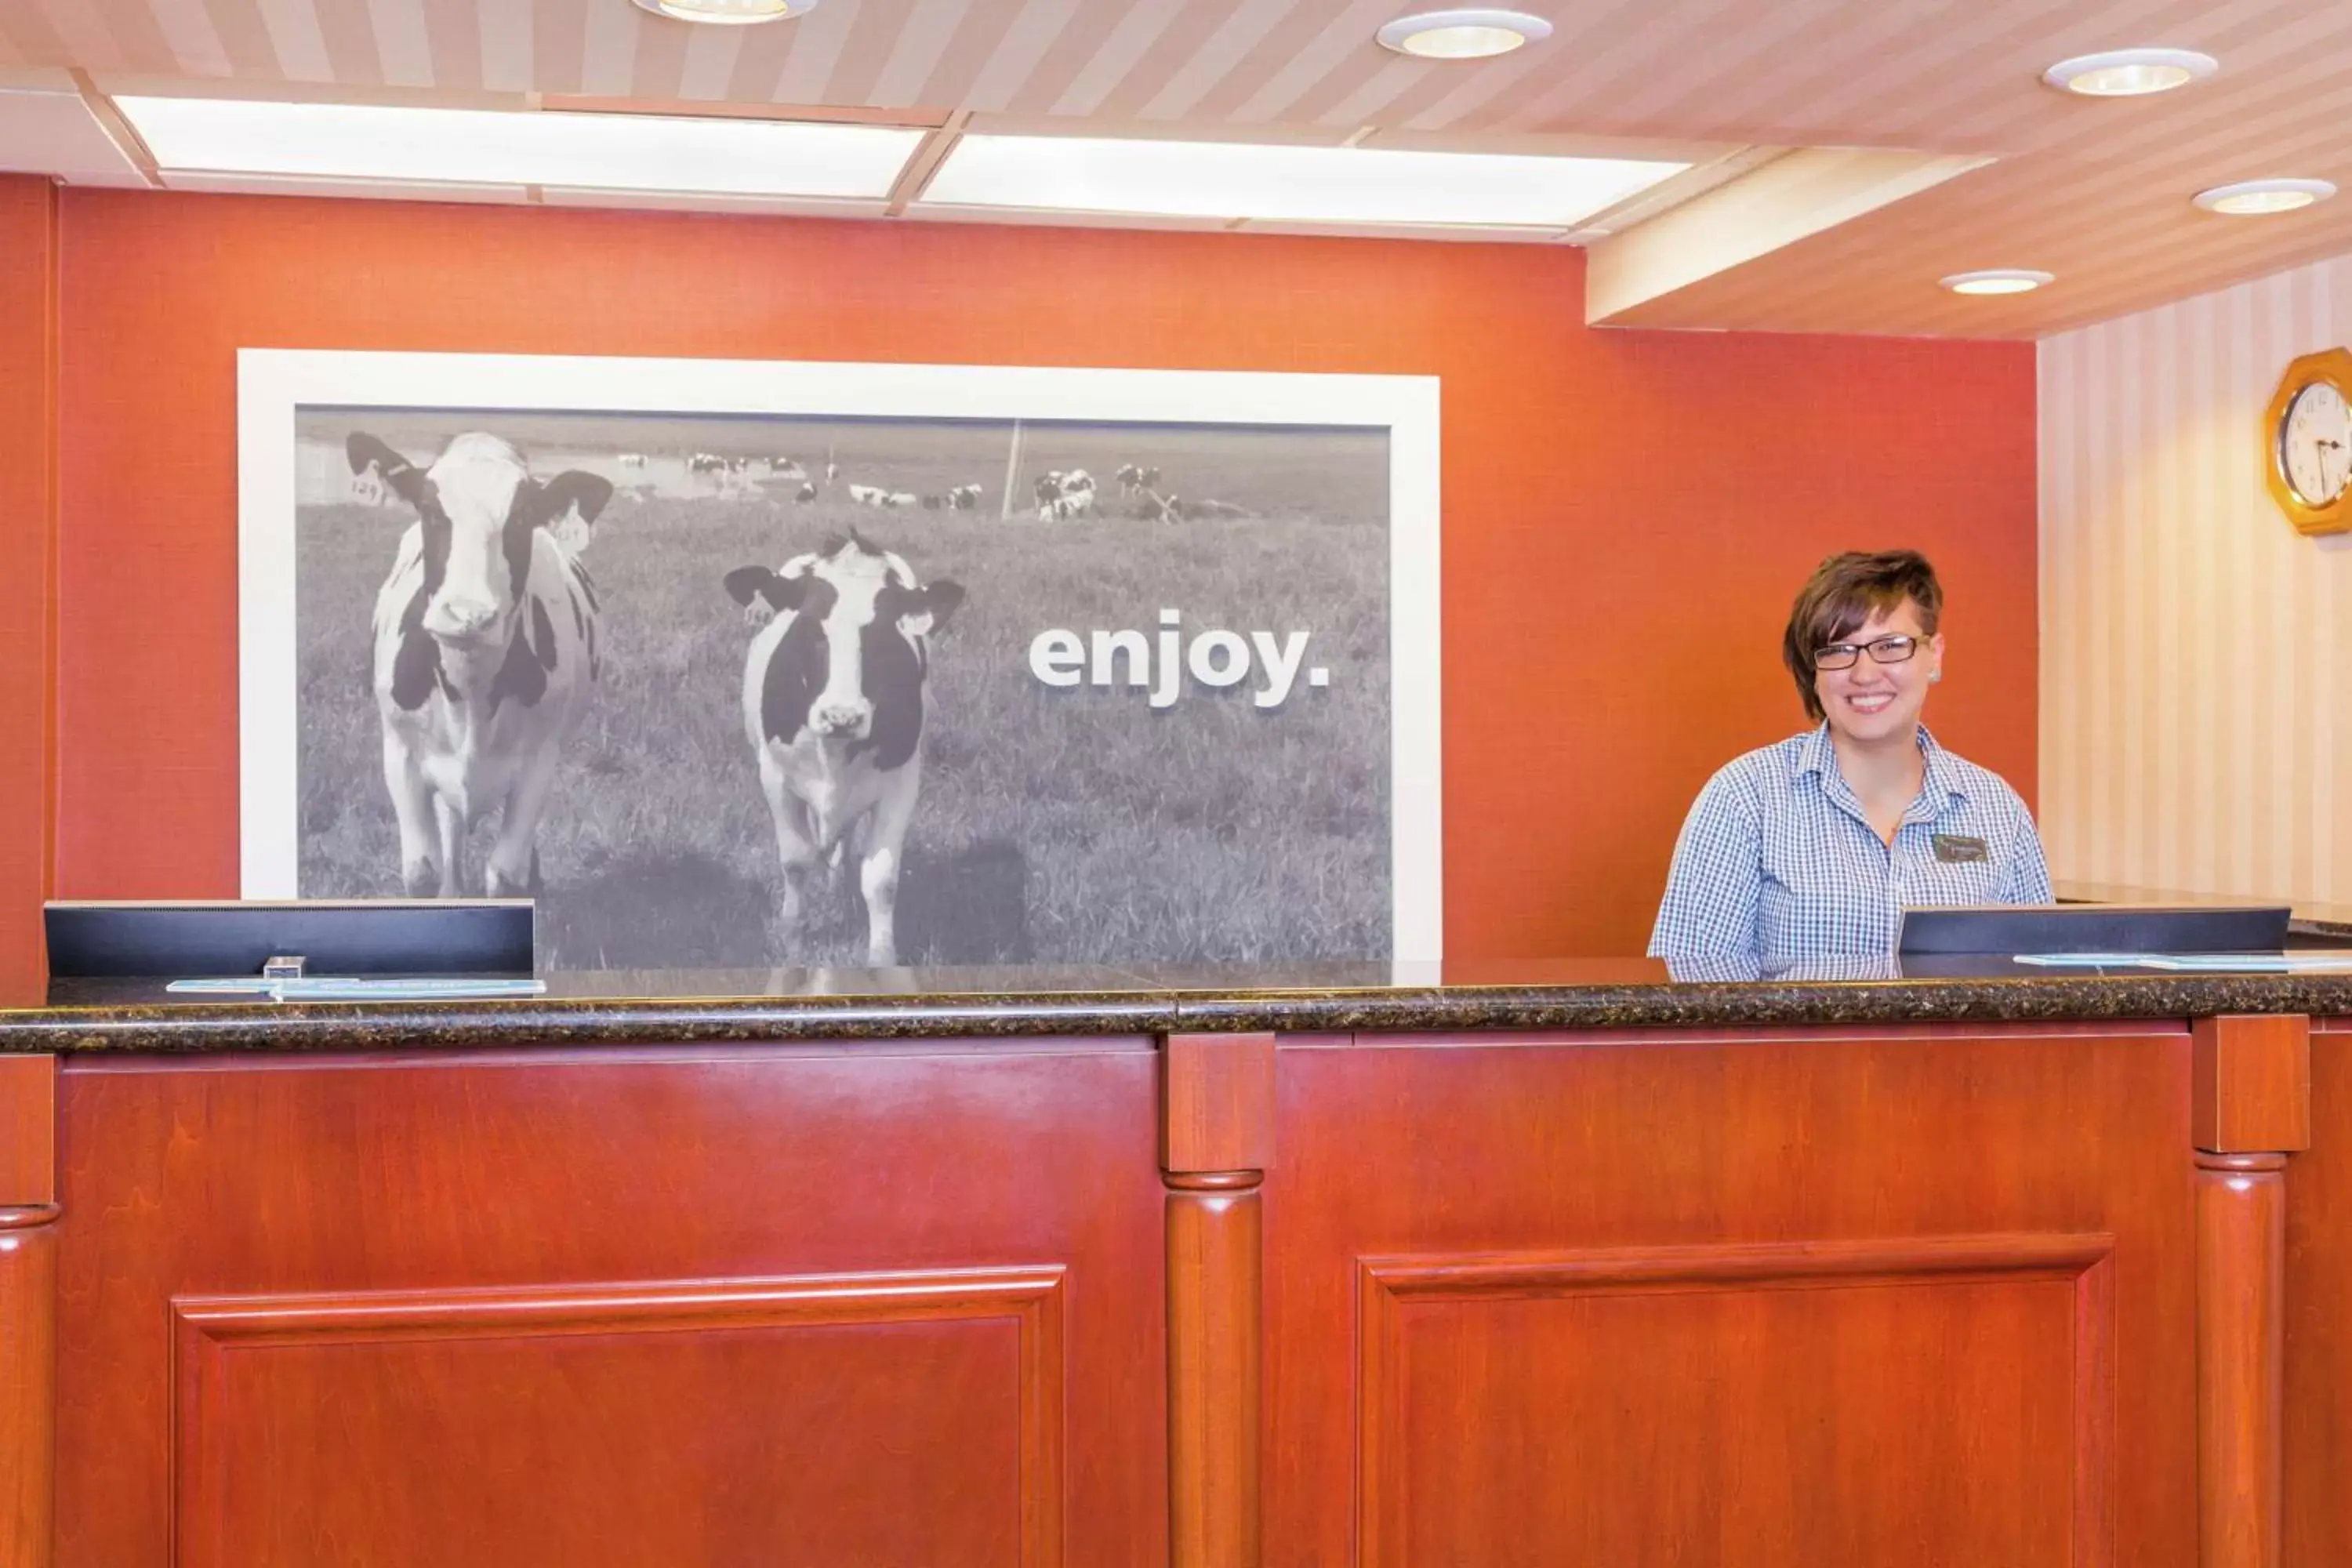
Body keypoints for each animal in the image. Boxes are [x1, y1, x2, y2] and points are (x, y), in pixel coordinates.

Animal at [346, 432, 612, 893]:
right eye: (430, 510)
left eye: (522, 516)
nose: (468, 614)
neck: (470, 694)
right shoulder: (400, 755)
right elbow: (423, 871)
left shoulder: (538, 764)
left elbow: (506, 873)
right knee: (452, 832)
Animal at [724, 533, 964, 964]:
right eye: (808, 627)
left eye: (884, 634)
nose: (842, 716)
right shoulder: (775, 777)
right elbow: (796, 861)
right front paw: (794, 942)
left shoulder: (902, 781)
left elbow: (881, 879)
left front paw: (882, 961)